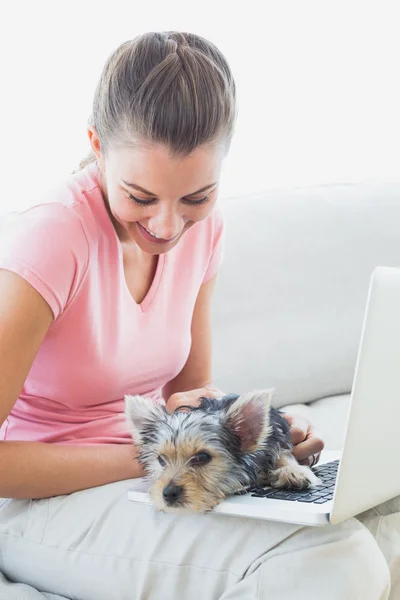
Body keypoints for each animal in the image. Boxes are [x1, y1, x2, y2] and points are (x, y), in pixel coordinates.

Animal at [125, 392, 318, 512]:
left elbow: (283, 452)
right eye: (161, 460)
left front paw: (293, 471)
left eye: (202, 457)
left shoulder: (277, 433)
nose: (168, 493)